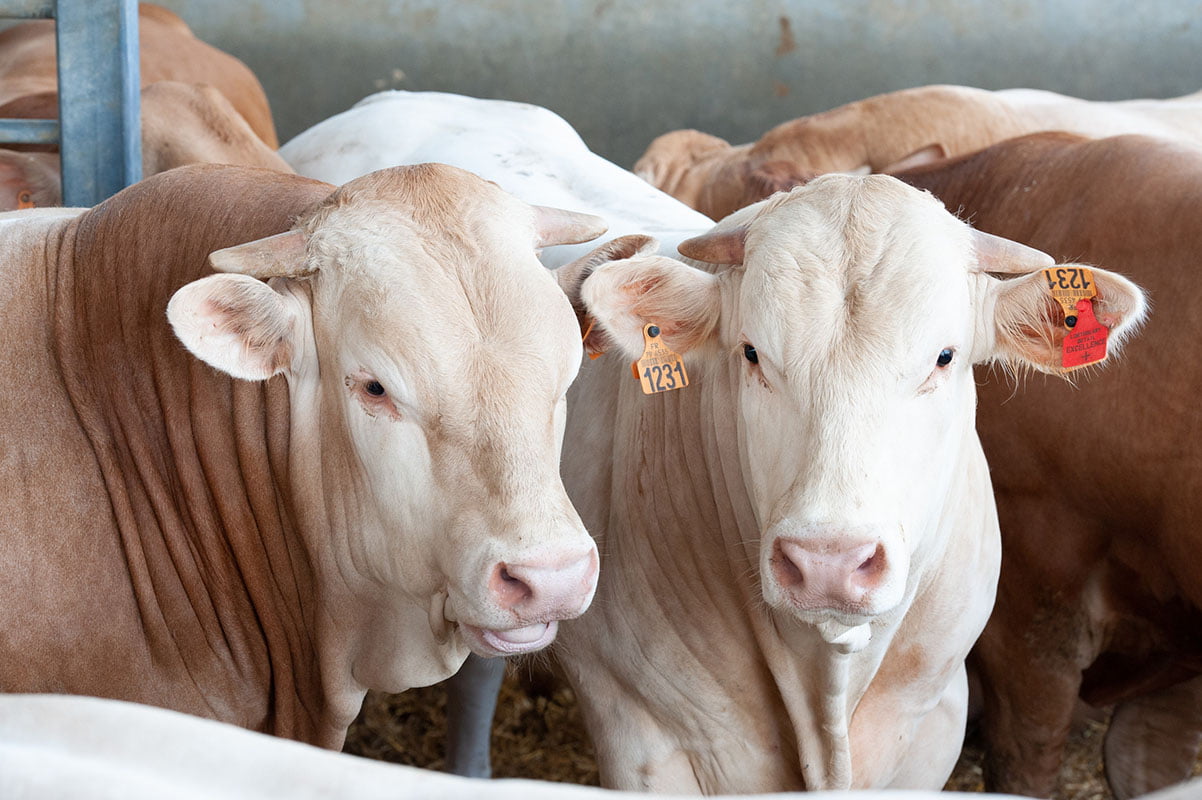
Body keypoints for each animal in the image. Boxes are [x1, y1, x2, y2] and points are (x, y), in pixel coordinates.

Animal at [278, 90, 1144, 787]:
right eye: (752, 353)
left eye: (945, 356)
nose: (829, 561)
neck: (822, 688)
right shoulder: (645, 737)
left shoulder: (931, 723)